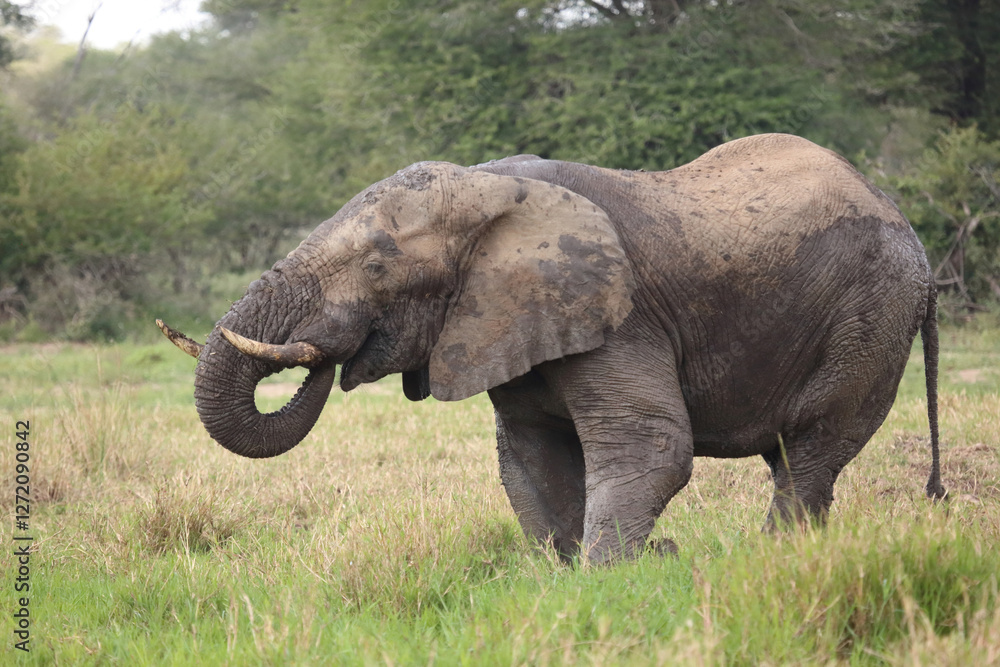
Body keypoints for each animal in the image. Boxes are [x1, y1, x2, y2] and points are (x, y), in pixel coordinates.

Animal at [161, 133, 946, 564]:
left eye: (380, 267)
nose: (327, 352)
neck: (489, 188)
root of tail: (905, 222)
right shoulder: (507, 321)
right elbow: (528, 457)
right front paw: (567, 575)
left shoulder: (618, 310)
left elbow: (651, 443)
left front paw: (622, 573)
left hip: (870, 315)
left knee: (810, 448)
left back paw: (776, 558)